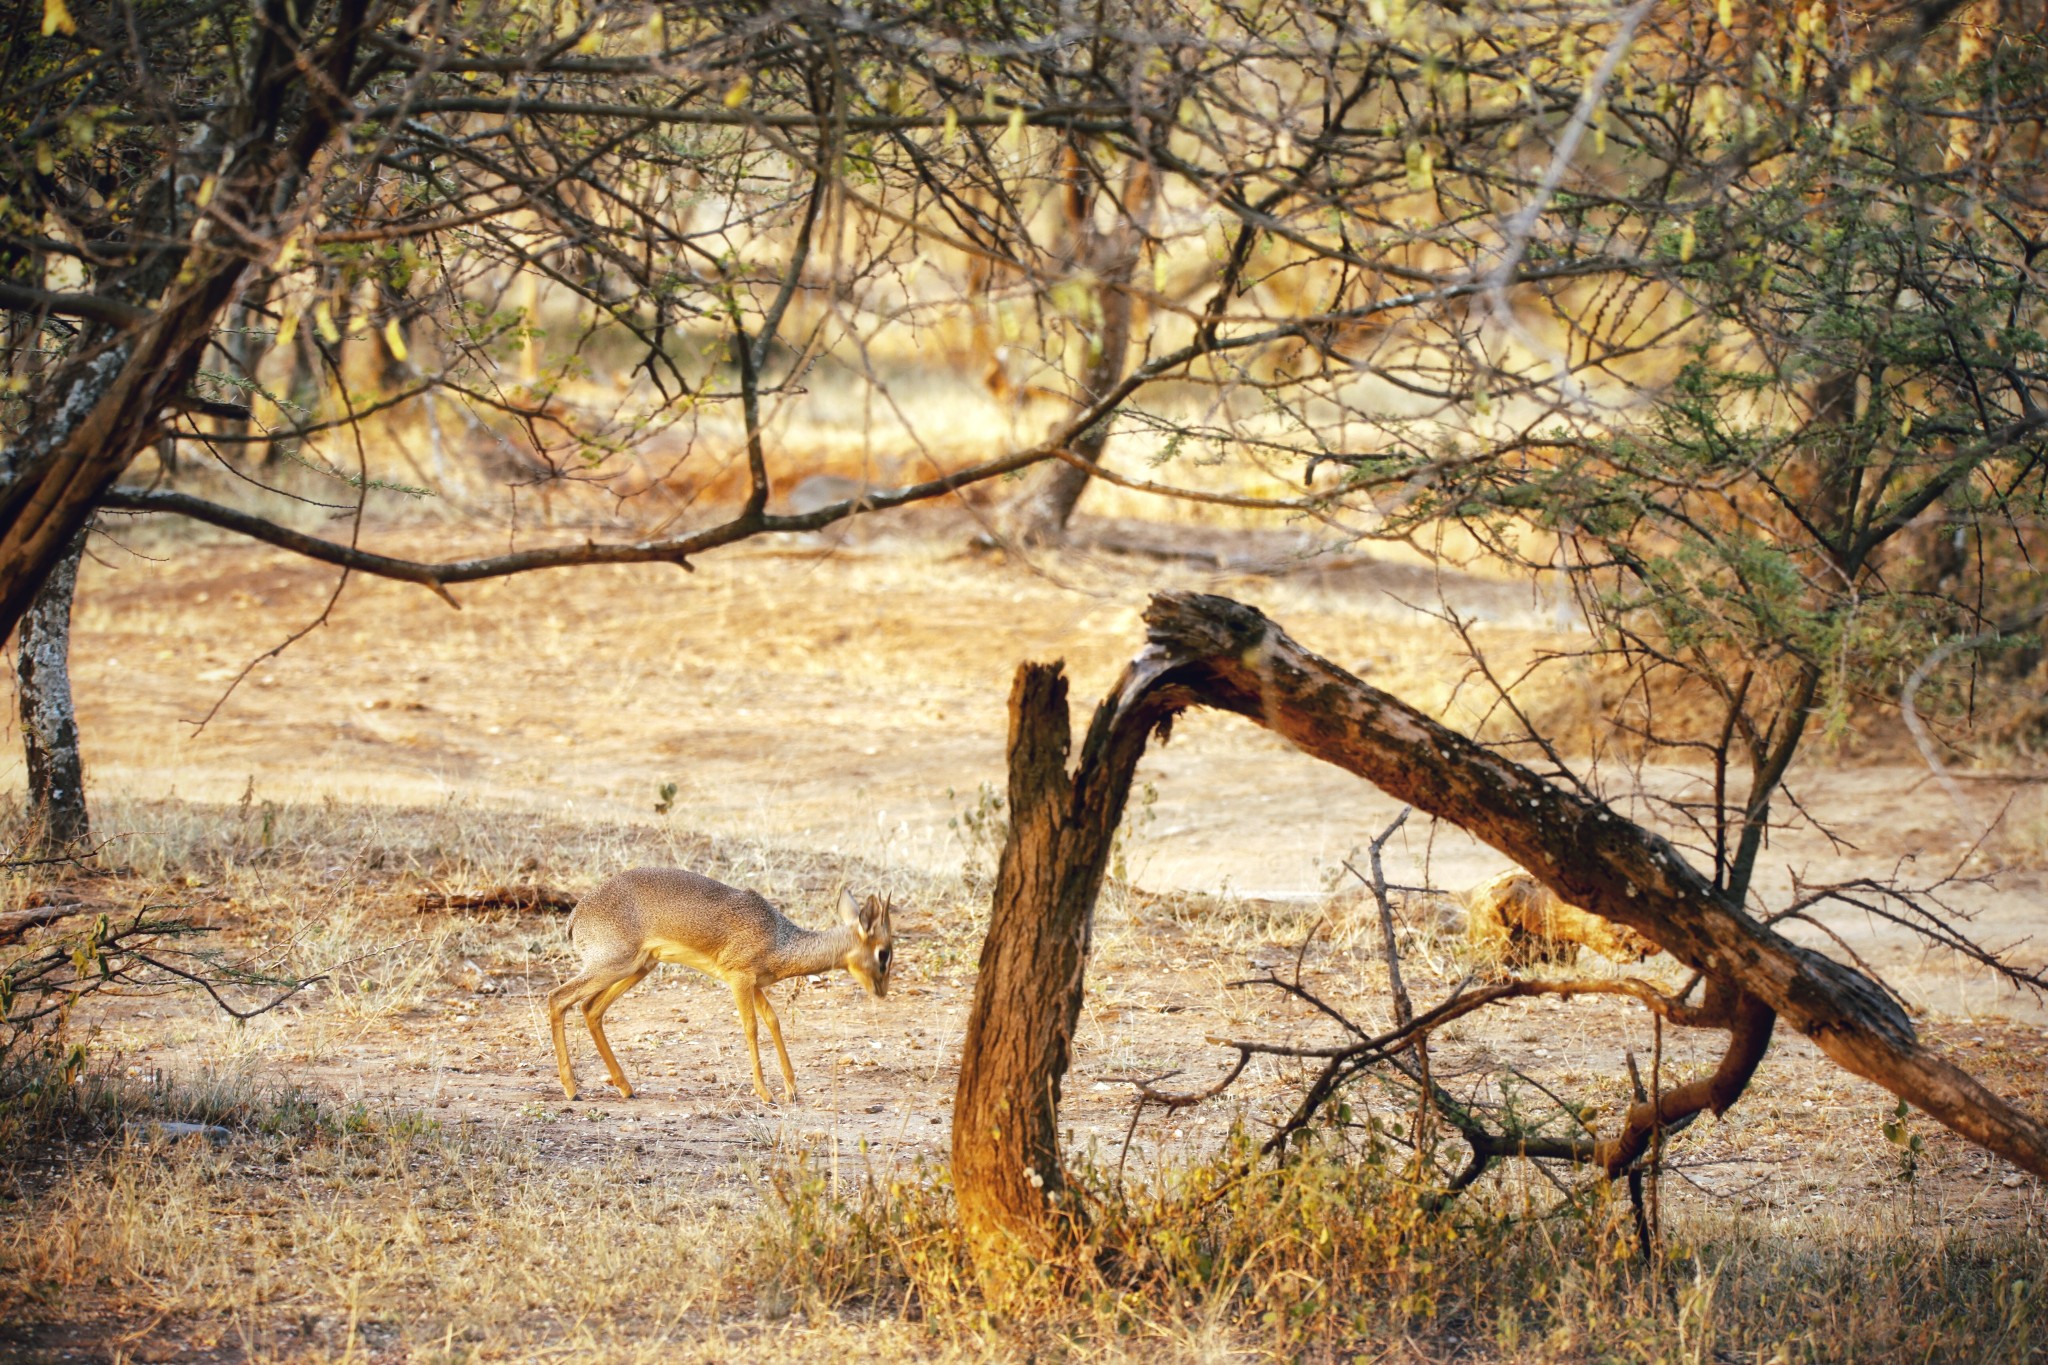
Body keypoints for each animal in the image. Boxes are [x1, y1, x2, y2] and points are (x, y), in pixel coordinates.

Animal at [548, 871, 892, 1105]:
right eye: (884, 953)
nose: (882, 991)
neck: (778, 938)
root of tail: (577, 915)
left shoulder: (755, 985)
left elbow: (773, 1021)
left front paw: (792, 1090)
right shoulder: (739, 980)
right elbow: (751, 1027)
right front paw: (765, 1093)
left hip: (638, 968)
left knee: (590, 1008)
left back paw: (625, 1088)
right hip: (613, 966)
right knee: (557, 998)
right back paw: (572, 1090)